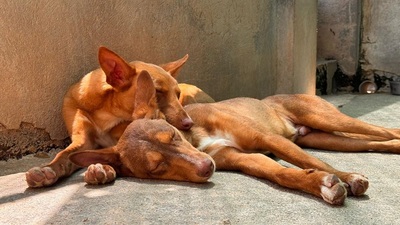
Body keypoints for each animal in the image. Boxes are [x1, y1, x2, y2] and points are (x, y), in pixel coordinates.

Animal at [25, 46, 194, 187]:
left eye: (177, 94)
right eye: (158, 91)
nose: (189, 123)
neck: (106, 114)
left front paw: (103, 167)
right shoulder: (84, 140)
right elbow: (63, 154)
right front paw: (47, 169)